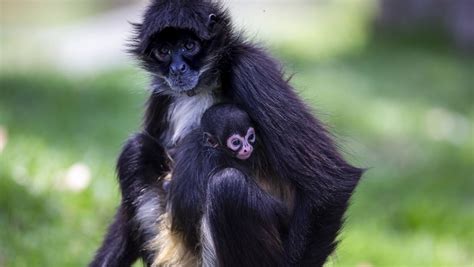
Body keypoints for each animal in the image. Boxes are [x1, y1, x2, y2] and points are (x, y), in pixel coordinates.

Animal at [89, 1, 362, 266]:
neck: (203, 86)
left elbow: (332, 181)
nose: (177, 69)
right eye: (163, 51)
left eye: (189, 46)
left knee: (227, 186)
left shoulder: (249, 67)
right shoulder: (161, 92)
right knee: (136, 149)